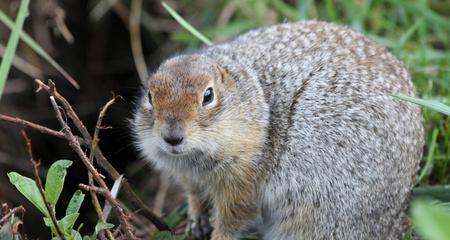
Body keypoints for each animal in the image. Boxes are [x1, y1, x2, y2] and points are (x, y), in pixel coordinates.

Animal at [132, 21, 424, 240]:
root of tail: (394, 219)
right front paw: (197, 220)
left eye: (208, 95)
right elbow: (194, 194)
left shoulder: (243, 179)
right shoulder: (188, 176)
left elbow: (234, 217)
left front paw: (216, 234)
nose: (171, 137)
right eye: (149, 96)